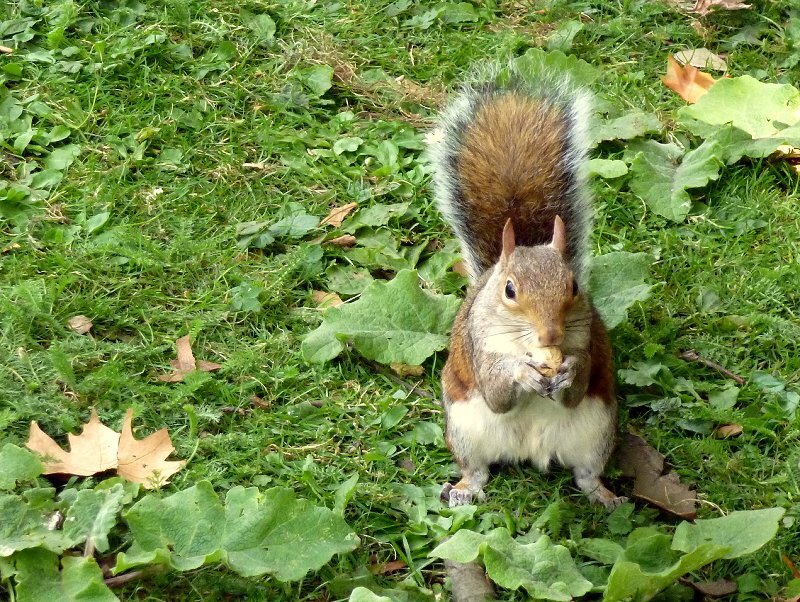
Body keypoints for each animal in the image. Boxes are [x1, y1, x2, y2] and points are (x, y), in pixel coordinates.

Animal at [429, 67, 626, 511]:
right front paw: (521, 371)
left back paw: (605, 495)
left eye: (574, 285)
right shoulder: (479, 346)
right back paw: (464, 489)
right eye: (509, 290)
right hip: (465, 431)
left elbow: (578, 386)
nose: (550, 336)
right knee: (478, 470)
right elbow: (497, 393)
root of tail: (530, 452)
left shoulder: (588, 340)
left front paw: (569, 369)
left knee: (587, 474)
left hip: (597, 431)